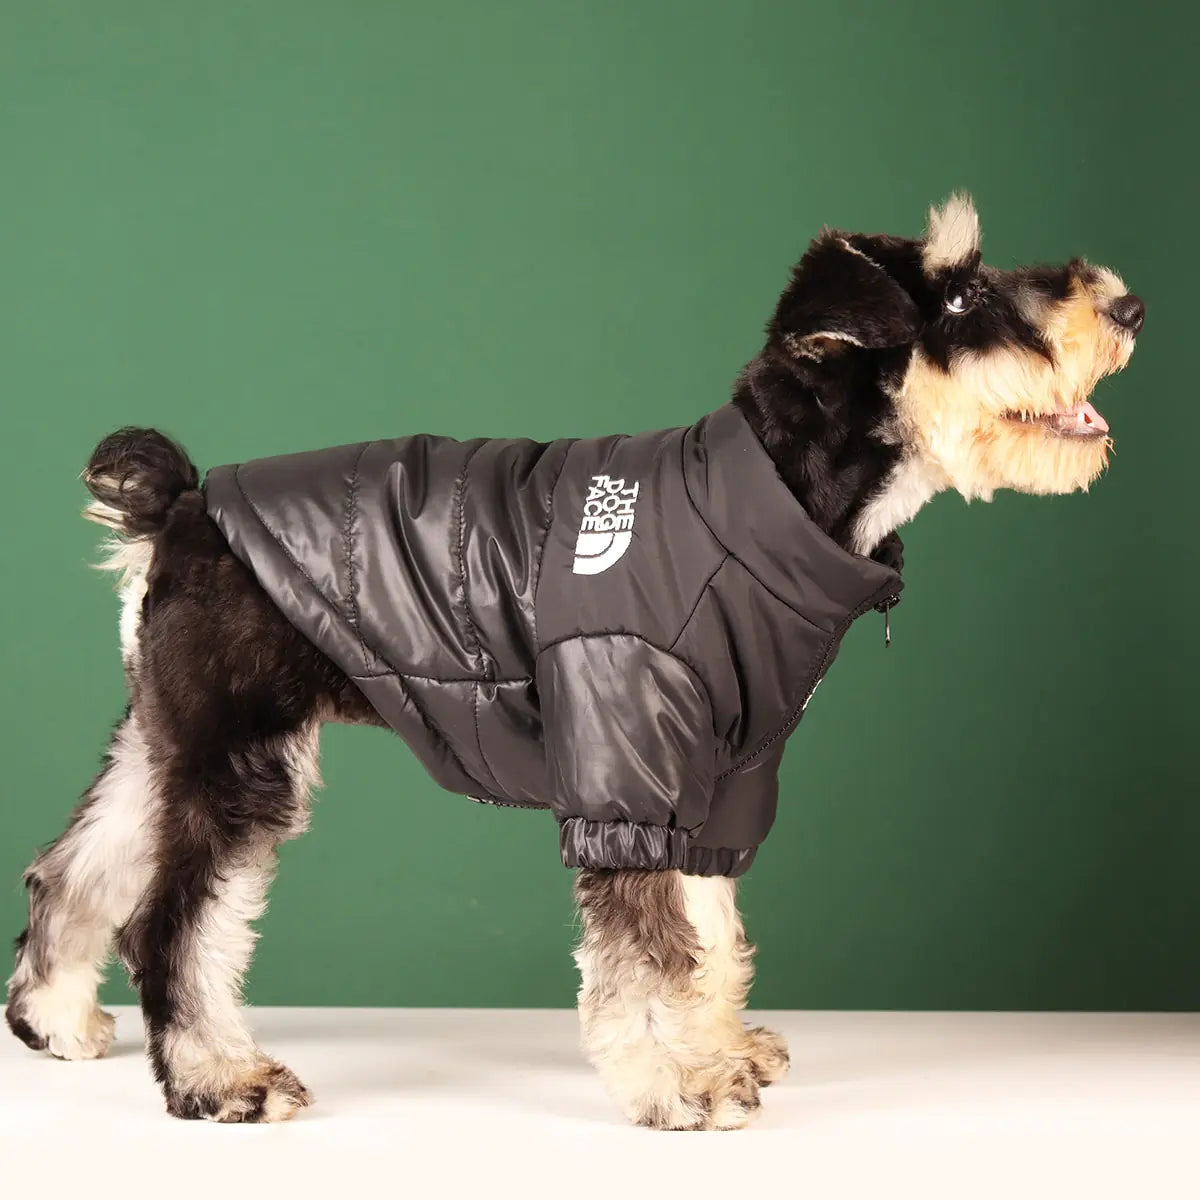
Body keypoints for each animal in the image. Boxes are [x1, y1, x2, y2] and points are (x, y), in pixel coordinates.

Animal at [4, 194, 1142, 1123]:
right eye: (958, 300)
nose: (1125, 306)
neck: (763, 505)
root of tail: (181, 507)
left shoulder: (720, 778)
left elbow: (706, 924)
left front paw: (720, 1047)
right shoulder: (624, 760)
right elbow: (646, 951)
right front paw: (679, 1084)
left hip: (169, 739)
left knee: (82, 862)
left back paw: (53, 1018)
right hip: (240, 760)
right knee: (173, 921)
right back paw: (218, 1078)